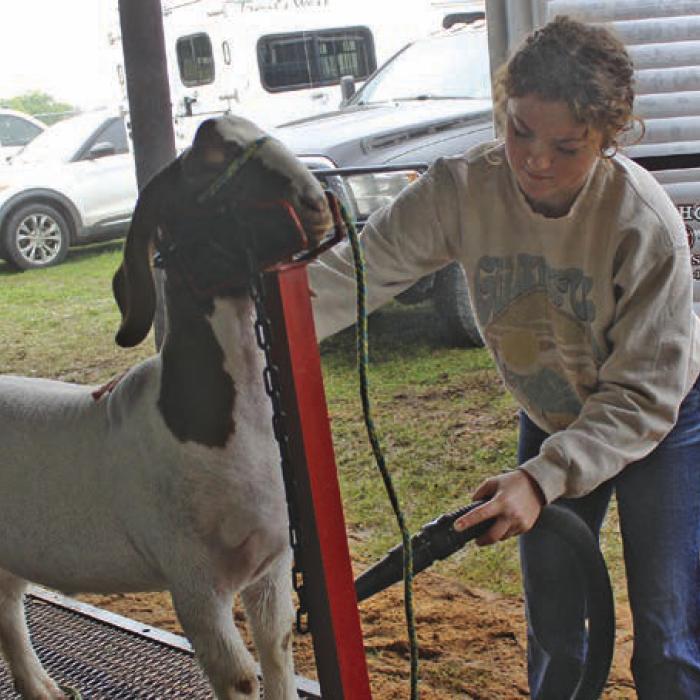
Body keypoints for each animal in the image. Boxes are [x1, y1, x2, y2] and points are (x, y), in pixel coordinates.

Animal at [0, 115, 333, 700]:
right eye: (205, 156)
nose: (316, 202)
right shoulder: (194, 578)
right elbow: (238, 676)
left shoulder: (271, 566)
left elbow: (279, 651)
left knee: (9, 604)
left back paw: (44, 688)